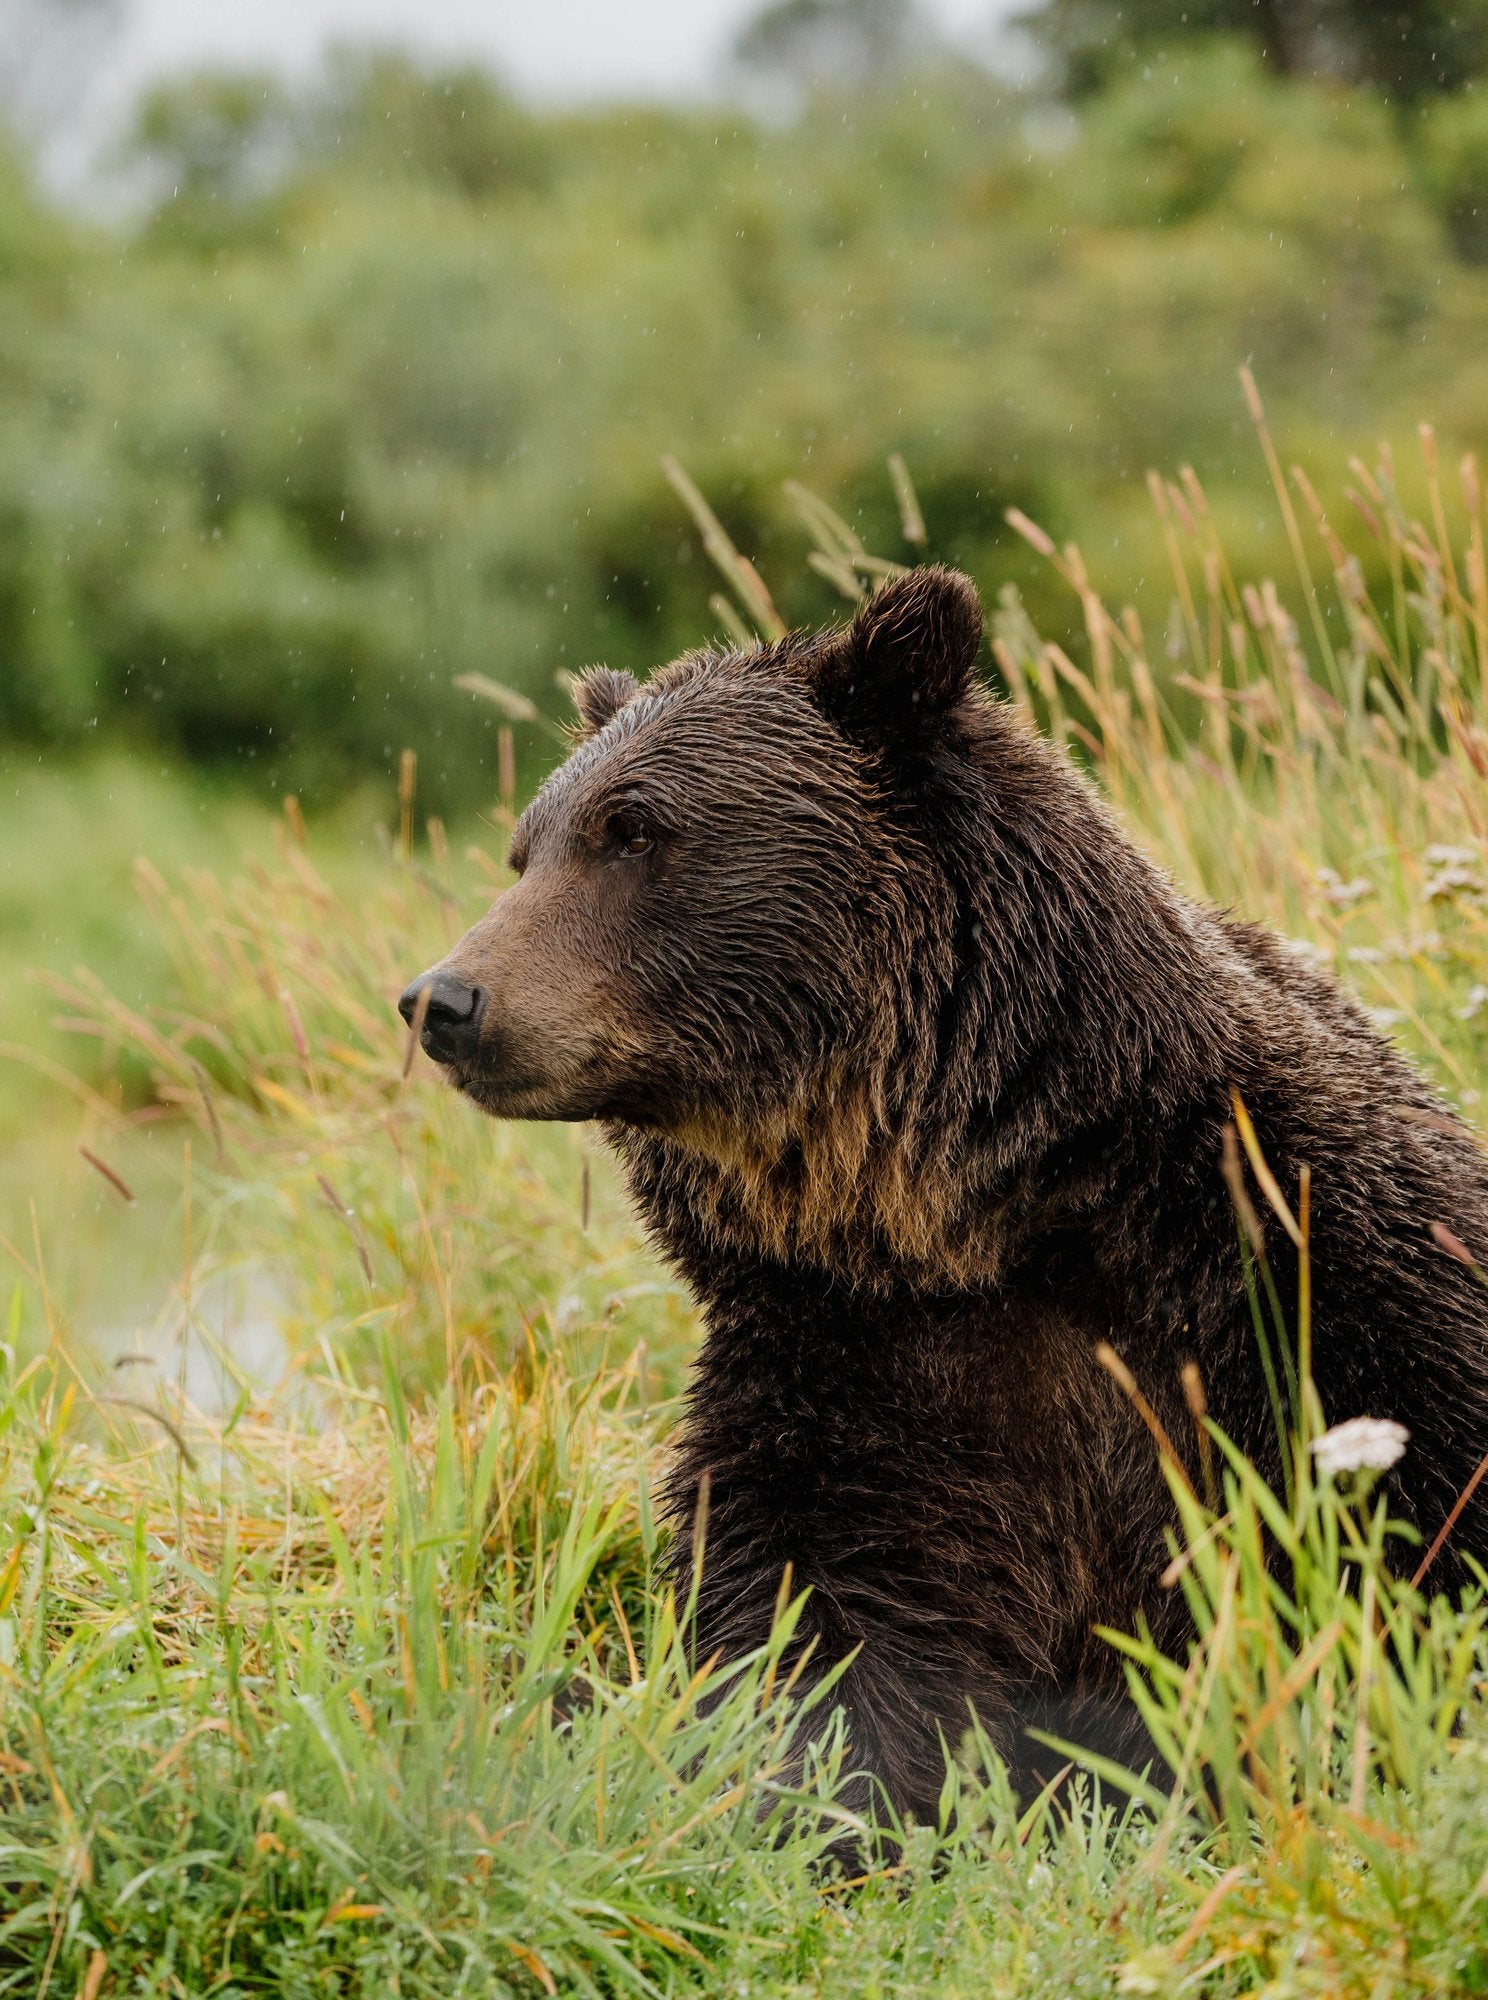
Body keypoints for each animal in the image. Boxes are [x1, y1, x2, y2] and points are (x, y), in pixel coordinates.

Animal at [400, 565, 1488, 1824]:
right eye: (525, 848)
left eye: (632, 828)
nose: (445, 999)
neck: (984, 1209)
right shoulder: (868, 1370)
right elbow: (819, 1625)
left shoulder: (1322, 1286)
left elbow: (1426, 1530)